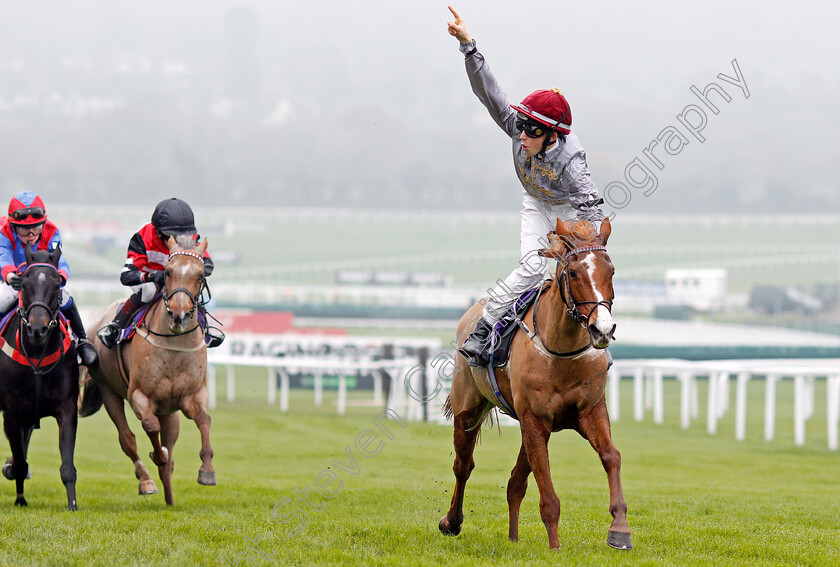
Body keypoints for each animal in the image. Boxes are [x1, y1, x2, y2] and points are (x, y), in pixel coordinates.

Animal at [0, 246, 79, 512]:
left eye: (56, 284)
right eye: (23, 284)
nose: (37, 329)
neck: (35, 354)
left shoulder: (67, 408)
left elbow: (67, 466)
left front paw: (72, 504)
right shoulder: (12, 414)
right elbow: (20, 463)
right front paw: (20, 499)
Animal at [80, 235, 215, 506]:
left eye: (199, 275)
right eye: (168, 272)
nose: (178, 314)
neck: (174, 346)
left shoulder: (192, 396)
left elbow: (204, 420)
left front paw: (207, 470)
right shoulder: (139, 395)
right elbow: (150, 428)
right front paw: (156, 454)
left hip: (169, 411)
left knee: (169, 455)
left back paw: (170, 499)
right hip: (108, 391)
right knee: (128, 439)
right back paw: (146, 480)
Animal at [440, 217, 632, 552]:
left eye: (611, 270)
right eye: (572, 272)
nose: (602, 328)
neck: (560, 350)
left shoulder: (590, 410)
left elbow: (611, 456)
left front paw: (619, 529)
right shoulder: (535, 419)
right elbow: (546, 485)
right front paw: (555, 546)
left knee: (515, 481)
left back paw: (513, 538)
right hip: (469, 408)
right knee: (463, 466)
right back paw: (452, 522)